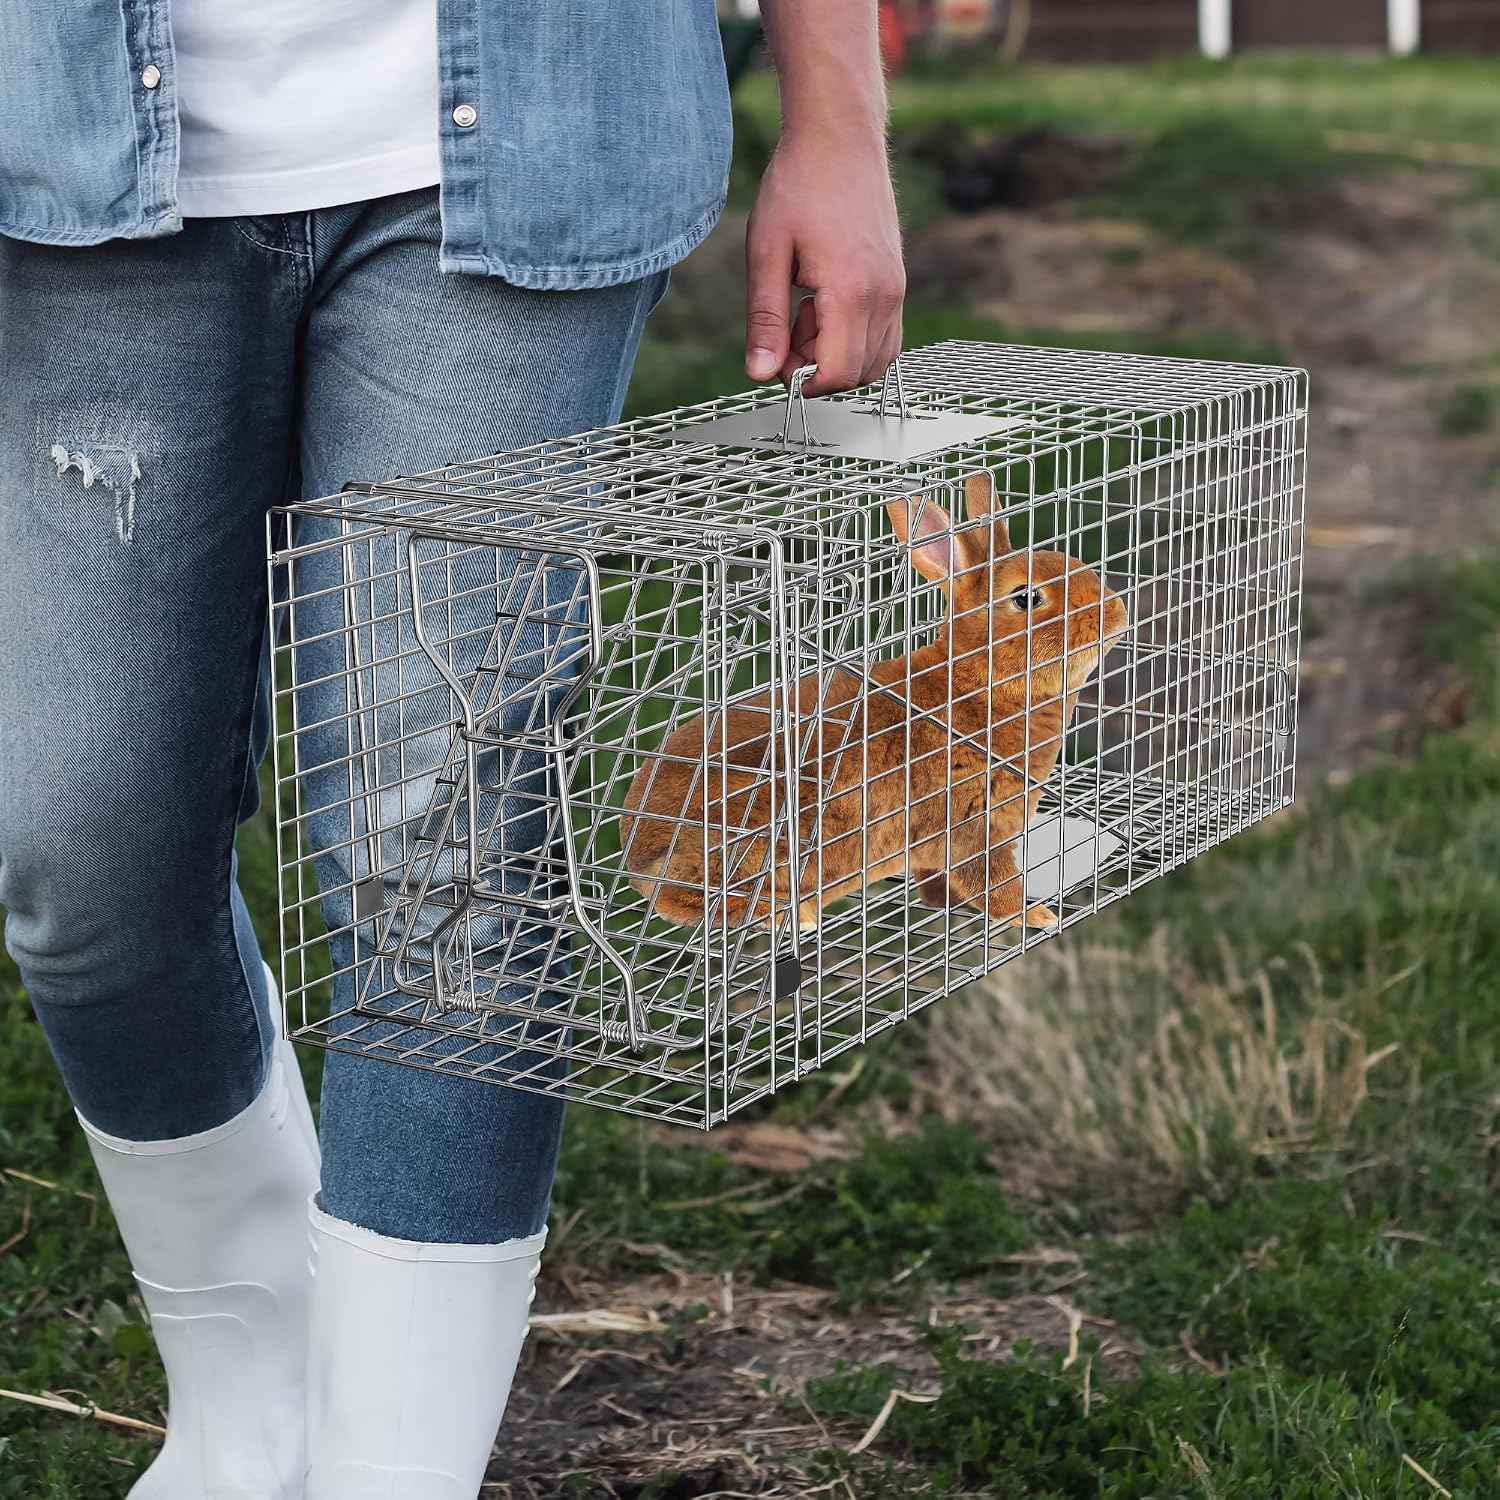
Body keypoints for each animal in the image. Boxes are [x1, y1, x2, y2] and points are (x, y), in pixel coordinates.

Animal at [619, 471, 1130, 934]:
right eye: (1027, 598)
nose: (1116, 613)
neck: (981, 682)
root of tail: (634, 852)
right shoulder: (968, 825)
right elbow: (992, 883)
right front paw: (1035, 916)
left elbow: (937, 881)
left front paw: (944, 905)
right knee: (686, 901)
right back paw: (788, 915)